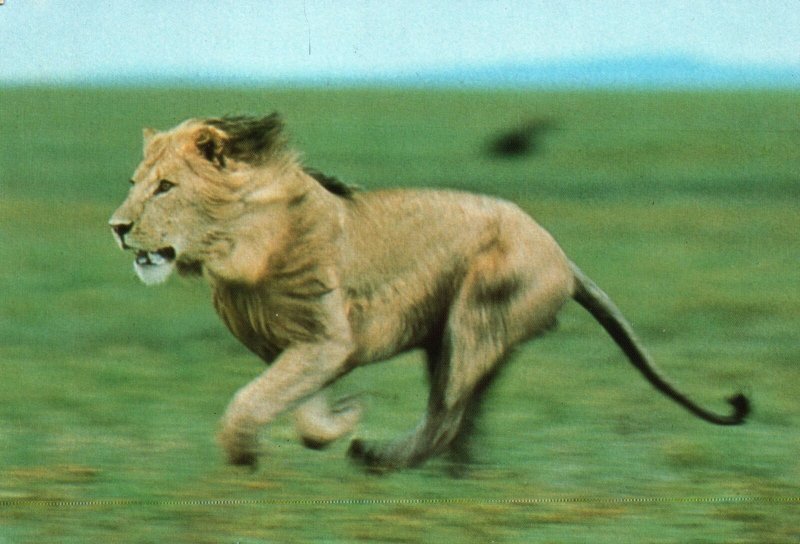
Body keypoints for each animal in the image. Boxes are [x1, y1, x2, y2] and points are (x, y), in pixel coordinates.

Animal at [109, 112, 748, 470]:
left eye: (165, 187)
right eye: (135, 183)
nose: (117, 227)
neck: (233, 249)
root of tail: (562, 256)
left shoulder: (325, 339)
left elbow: (250, 401)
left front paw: (245, 456)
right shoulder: (290, 346)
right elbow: (292, 401)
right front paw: (331, 422)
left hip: (477, 314)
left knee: (445, 416)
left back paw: (379, 459)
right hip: (462, 337)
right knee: (465, 416)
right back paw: (460, 479)